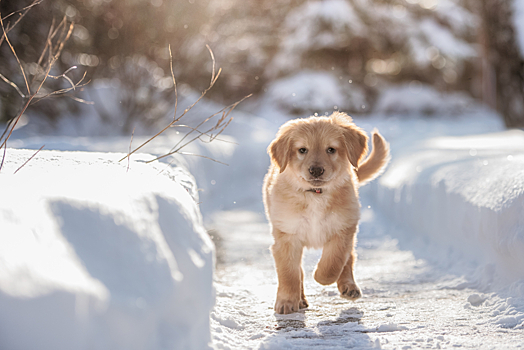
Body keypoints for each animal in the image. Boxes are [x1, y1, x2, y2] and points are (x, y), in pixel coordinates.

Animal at [262, 112, 388, 314]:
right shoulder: (287, 235)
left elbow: (334, 262)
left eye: (331, 149)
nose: (316, 170)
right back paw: (301, 299)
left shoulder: (343, 228)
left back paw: (349, 286)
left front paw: (321, 276)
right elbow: (289, 273)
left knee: (349, 258)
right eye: (302, 150)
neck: (316, 195)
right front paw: (287, 301)